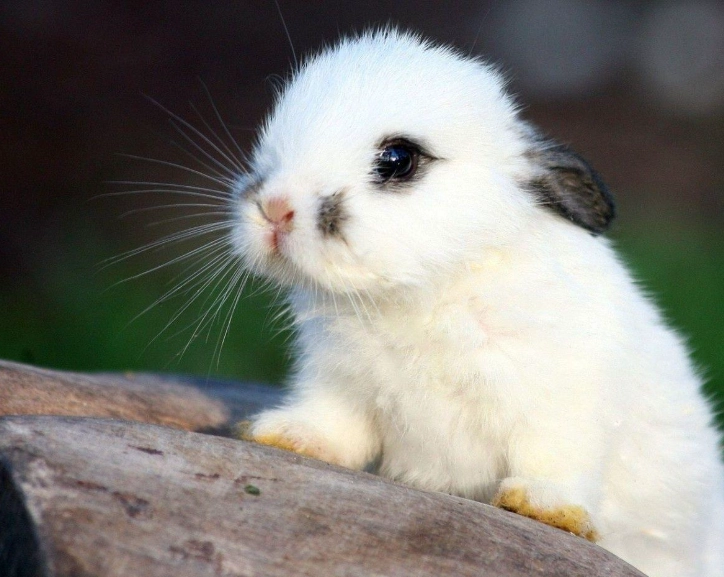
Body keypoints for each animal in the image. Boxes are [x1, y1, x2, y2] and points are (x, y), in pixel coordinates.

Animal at [231, 29, 724, 577]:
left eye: (398, 159)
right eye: (272, 146)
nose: (275, 209)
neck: (424, 292)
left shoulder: (562, 401)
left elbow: (556, 457)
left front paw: (542, 507)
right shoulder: (339, 385)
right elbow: (334, 427)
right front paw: (283, 434)